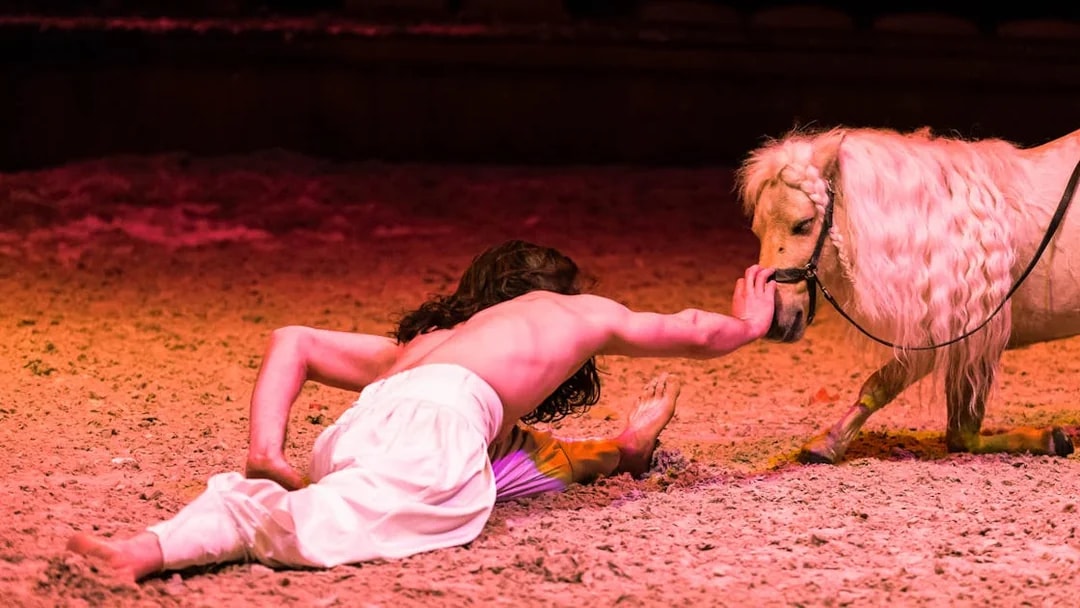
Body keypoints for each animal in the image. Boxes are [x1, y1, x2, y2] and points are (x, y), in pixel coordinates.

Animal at [735, 125, 1080, 464]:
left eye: (803, 224)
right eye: (758, 230)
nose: (776, 321)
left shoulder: (952, 335)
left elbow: (884, 386)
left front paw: (828, 444)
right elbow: (959, 435)